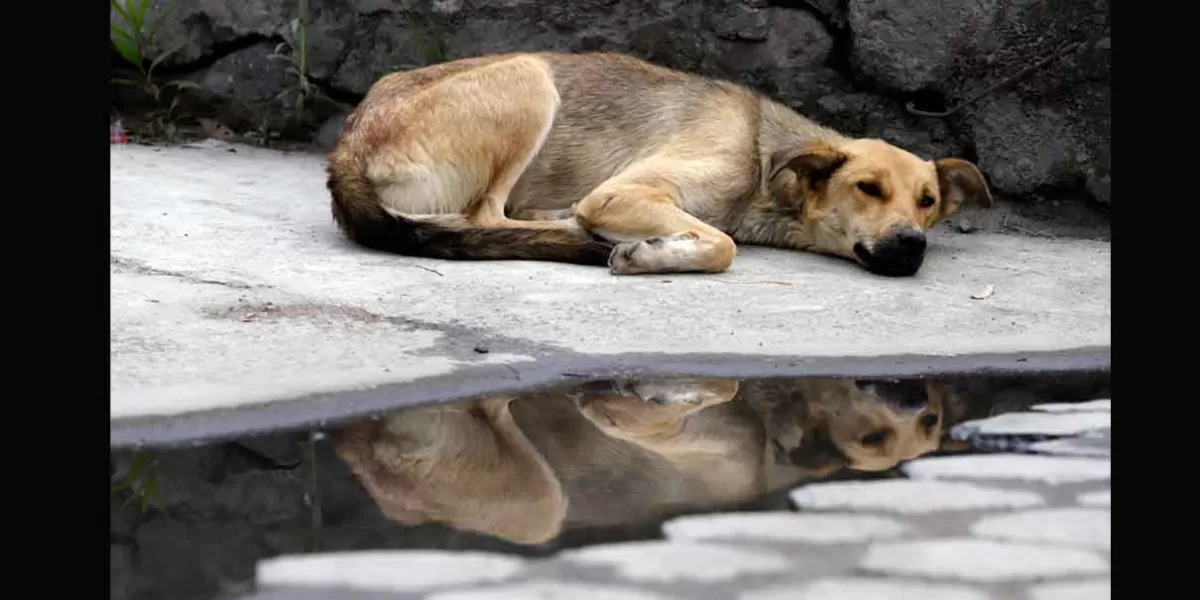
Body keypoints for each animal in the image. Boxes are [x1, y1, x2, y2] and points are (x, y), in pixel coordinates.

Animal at [326, 51, 993, 276]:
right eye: (867, 188)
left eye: (928, 203)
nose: (911, 244)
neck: (762, 155)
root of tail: (345, 146)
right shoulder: (621, 193)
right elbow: (723, 244)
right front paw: (650, 255)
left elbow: (720, 237)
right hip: (529, 77)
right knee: (486, 216)